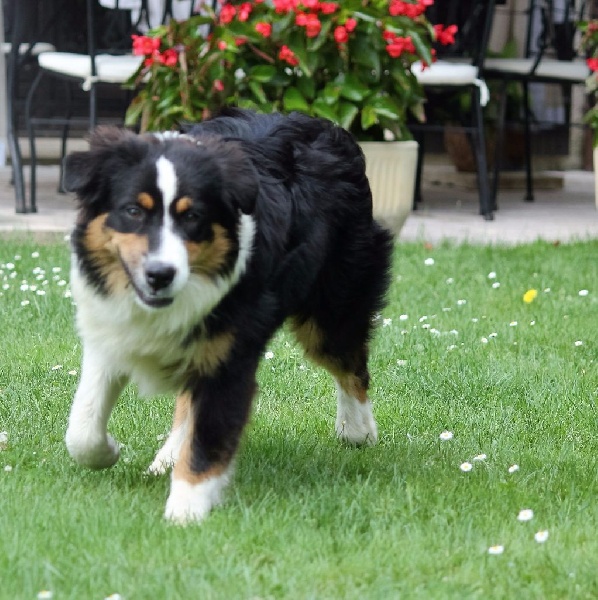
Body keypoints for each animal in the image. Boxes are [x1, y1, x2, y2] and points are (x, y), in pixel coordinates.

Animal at [63, 110, 396, 524]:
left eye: (193, 217)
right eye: (133, 211)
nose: (161, 275)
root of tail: (327, 125)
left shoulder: (229, 355)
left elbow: (209, 436)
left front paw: (186, 510)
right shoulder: (110, 332)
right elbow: (82, 429)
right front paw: (109, 450)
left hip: (332, 310)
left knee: (352, 367)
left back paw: (357, 429)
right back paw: (169, 453)